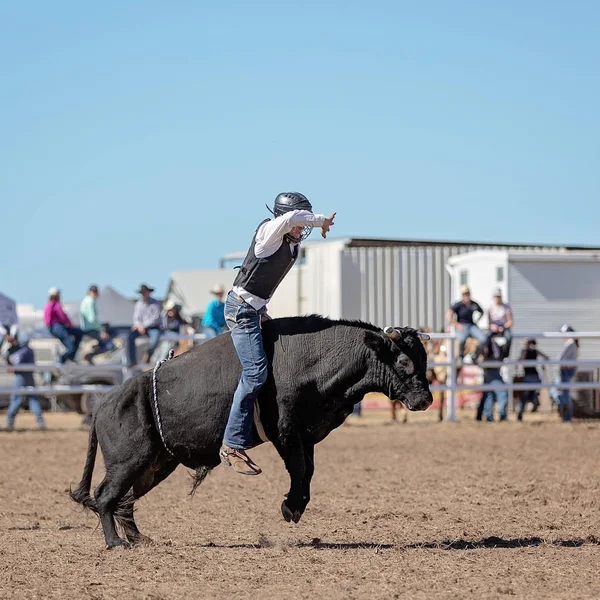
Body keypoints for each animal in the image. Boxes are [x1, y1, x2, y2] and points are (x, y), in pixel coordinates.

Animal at [71, 318, 432, 548]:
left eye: (424, 359)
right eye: (403, 361)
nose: (426, 399)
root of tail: (104, 403)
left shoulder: (304, 434)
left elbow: (308, 471)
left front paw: (295, 505)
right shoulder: (284, 432)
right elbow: (299, 468)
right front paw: (291, 507)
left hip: (154, 465)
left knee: (123, 501)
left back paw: (138, 538)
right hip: (127, 461)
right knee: (105, 496)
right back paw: (115, 542)